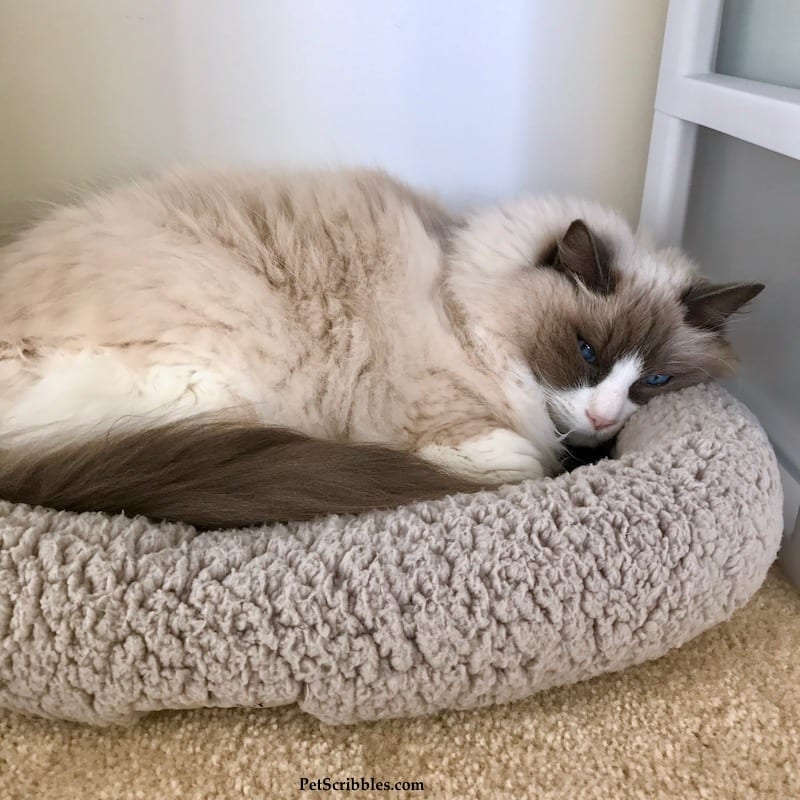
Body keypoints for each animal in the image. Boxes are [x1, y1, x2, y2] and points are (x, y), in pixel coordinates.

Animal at [0, 169, 764, 528]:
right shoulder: (469, 436)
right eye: (584, 352)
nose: (605, 420)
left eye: (655, 381)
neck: (459, 292)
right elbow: (522, 464)